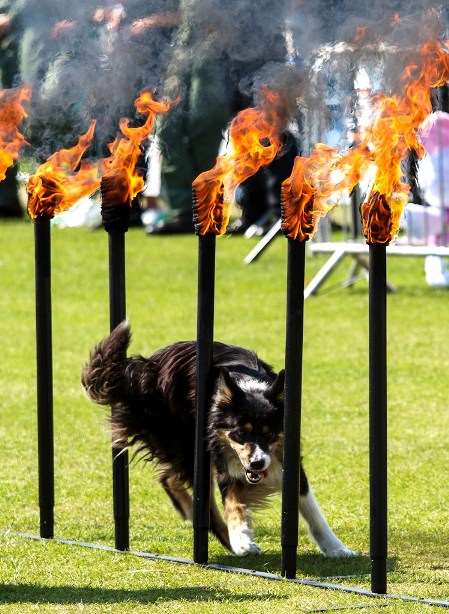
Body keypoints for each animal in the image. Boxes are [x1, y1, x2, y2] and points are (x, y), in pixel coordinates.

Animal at [83, 324, 354, 560]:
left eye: (269, 433)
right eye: (240, 433)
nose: (257, 464)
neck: (248, 387)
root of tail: (141, 368)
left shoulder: (286, 455)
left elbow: (311, 509)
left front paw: (335, 547)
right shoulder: (224, 458)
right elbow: (233, 503)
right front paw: (241, 539)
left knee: (170, 478)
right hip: (183, 441)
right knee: (189, 489)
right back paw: (225, 538)